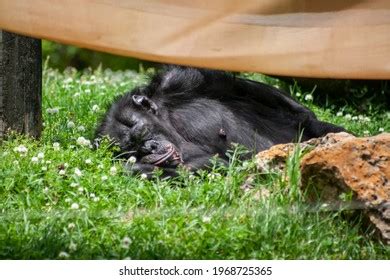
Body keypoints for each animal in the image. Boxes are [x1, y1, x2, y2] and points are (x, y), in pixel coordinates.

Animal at [96, 65, 344, 176]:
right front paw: (138, 168)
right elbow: (209, 164)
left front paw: (317, 126)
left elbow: (236, 88)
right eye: (133, 150)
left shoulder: (178, 80)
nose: (149, 147)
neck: (168, 123)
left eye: (141, 133)